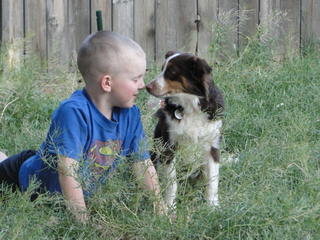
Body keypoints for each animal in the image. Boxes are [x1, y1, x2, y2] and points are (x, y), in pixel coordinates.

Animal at [146, 51, 224, 210]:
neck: (191, 107)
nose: (147, 87)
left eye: (171, 72)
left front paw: (212, 206)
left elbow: (213, 180)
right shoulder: (169, 146)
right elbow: (172, 182)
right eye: (162, 69)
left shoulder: (212, 146)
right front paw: (170, 206)